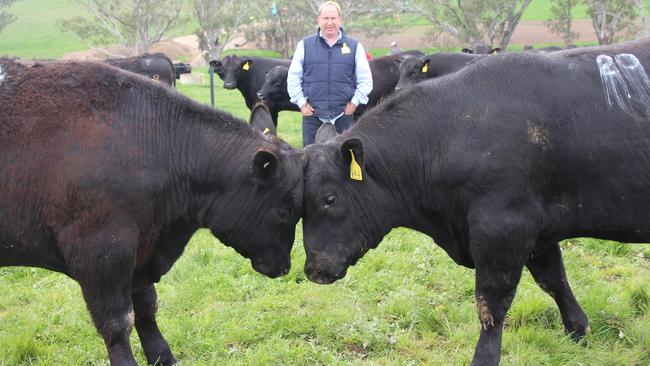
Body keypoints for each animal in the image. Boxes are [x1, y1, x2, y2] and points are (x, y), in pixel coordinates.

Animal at [0, 58, 304, 364]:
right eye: (284, 212)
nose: (285, 267)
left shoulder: (141, 252)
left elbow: (147, 307)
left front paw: (162, 356)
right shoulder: (100, 255)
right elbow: (117, 323)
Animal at [302, 38, 648, 366]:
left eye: (330, 198)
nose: (313, 270)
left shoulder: (503, 230)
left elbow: (491, 304)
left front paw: (484, 358)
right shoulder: (539, 231)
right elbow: (554, 280)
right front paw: (578, 331)